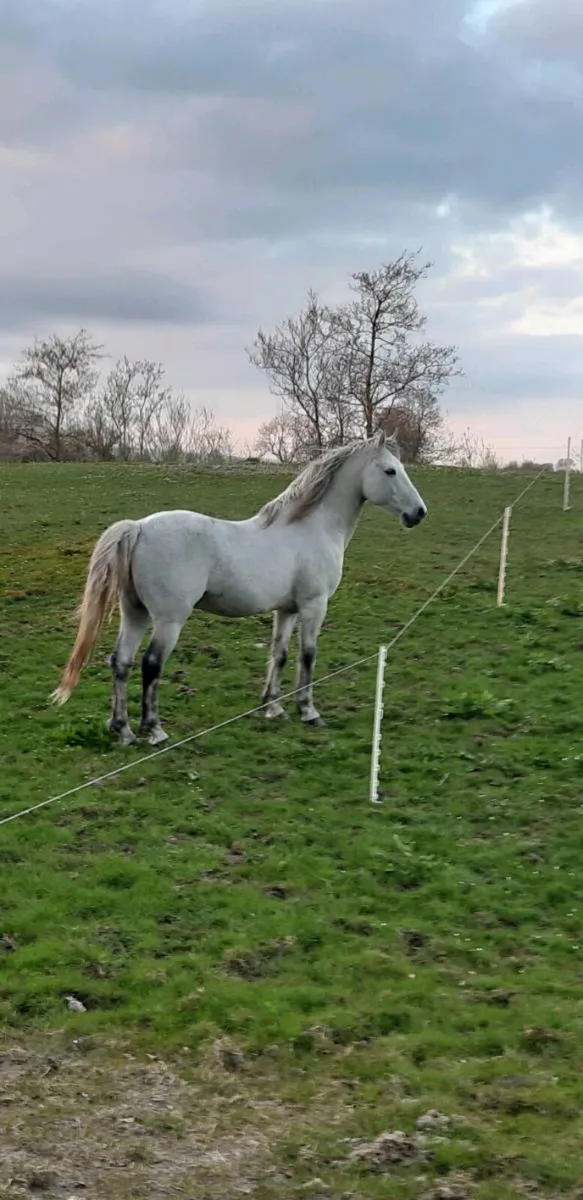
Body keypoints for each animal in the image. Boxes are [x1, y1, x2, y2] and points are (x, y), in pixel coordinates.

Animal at [51, 431, 427, 745]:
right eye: (390, 471)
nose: (419, 513)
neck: (312, 527)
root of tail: (139, 528)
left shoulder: (286, 610)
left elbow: (279, 653)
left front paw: (272, 706)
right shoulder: (313, 605)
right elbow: (307, 655)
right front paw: (308, 711)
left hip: (135, 613)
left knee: (122, 662)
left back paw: (123, 730)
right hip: (169, 620)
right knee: (151, 664)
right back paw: (154, 730)